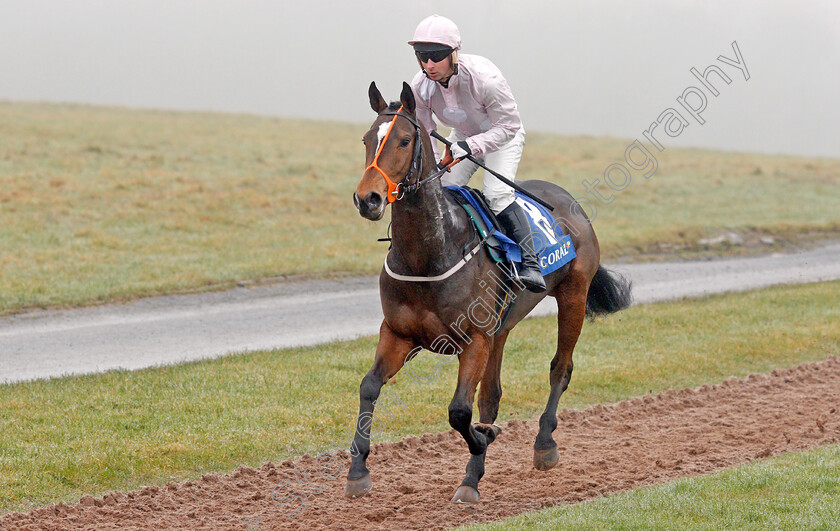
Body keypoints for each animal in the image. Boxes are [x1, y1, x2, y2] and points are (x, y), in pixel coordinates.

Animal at [346, 80, 632, 502]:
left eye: (403, 140)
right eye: (368, 138)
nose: (368, 199)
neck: (432, 253)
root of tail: (570, 202)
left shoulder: (474, 338)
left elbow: (459, 411)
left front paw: (482, 441)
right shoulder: (399, 334)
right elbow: (370, 386)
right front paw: (357, 470)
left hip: (573, 296)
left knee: (560, 369)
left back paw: (543, 445)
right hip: (502, 327)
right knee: (491, 394)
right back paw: (475, 473)